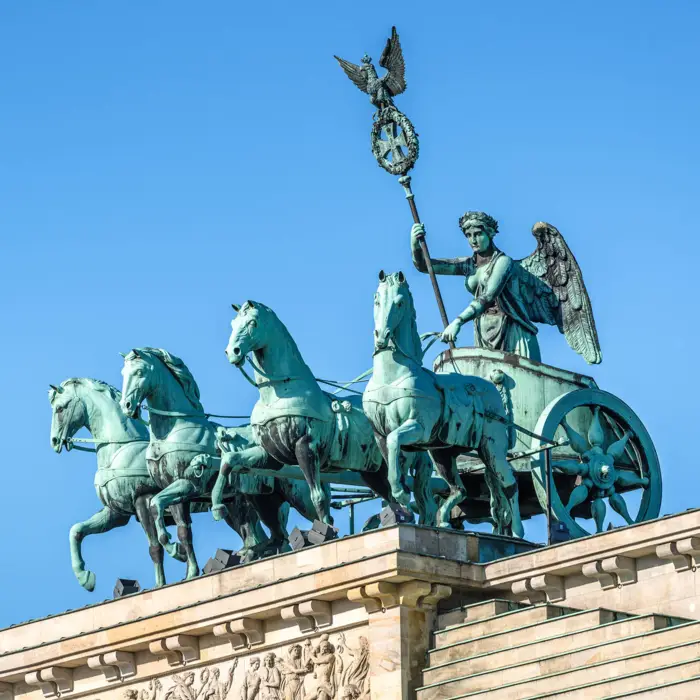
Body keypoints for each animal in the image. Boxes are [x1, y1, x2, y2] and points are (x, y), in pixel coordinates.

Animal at [47, 378, 187, 592]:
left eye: (60, 408)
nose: (54, 441)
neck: (120, 449)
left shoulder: (142, 500)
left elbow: (155, 546)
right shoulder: (117, 512)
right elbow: (76, 530)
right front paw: (85, 577)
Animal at [224, 300, 432, 524]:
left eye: (252, 322)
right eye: (233, 323)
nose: (233, 352)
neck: (279, 394)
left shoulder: (305, 446)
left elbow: (318, 496)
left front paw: (326, 528)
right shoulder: (272, 457)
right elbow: (230, 459)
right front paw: (219, 504)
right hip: (373, 472)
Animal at [364, 274, 524, 536]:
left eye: (399, 302)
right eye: (376, 300)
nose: (381, 335)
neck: (391, 376)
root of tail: (492, 385)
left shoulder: (417, 428)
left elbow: (395, 440)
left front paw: (401, 492)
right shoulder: (379, 435)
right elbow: (392, 460)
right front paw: (400, 497)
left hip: (492, 449)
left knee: (509, 483)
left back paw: (518, 531)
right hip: (443, 455)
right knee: (461, 490)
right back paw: (444, 520)